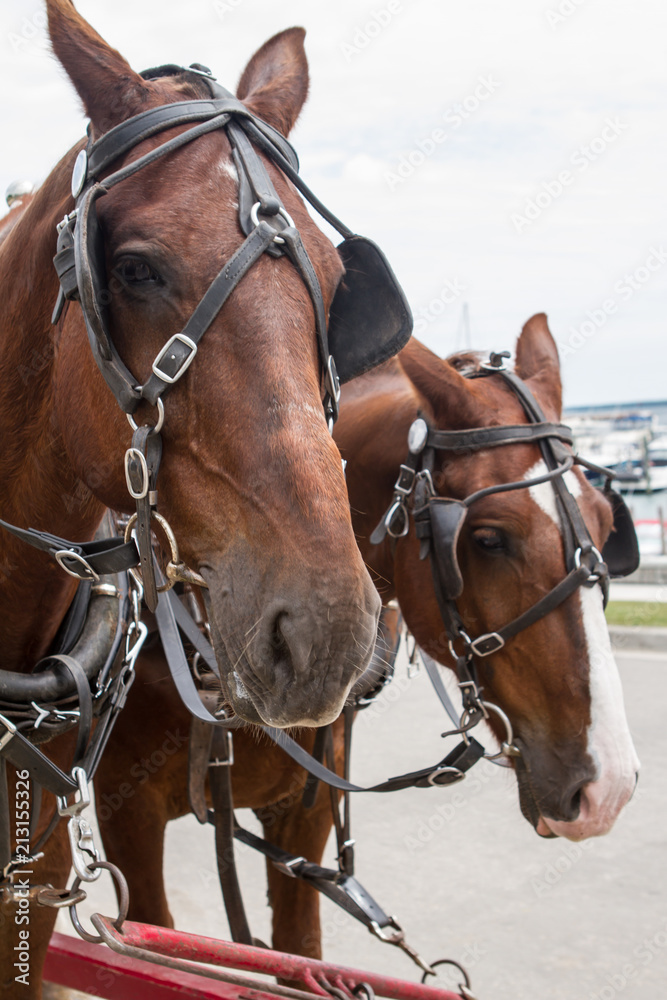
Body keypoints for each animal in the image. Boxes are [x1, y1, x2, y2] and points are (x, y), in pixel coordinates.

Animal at [95, 314, 639, 968]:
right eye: (487, 538)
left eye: (608, 525)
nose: (608, 786)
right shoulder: (126, 814)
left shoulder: (301, 816)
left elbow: (299, 955)